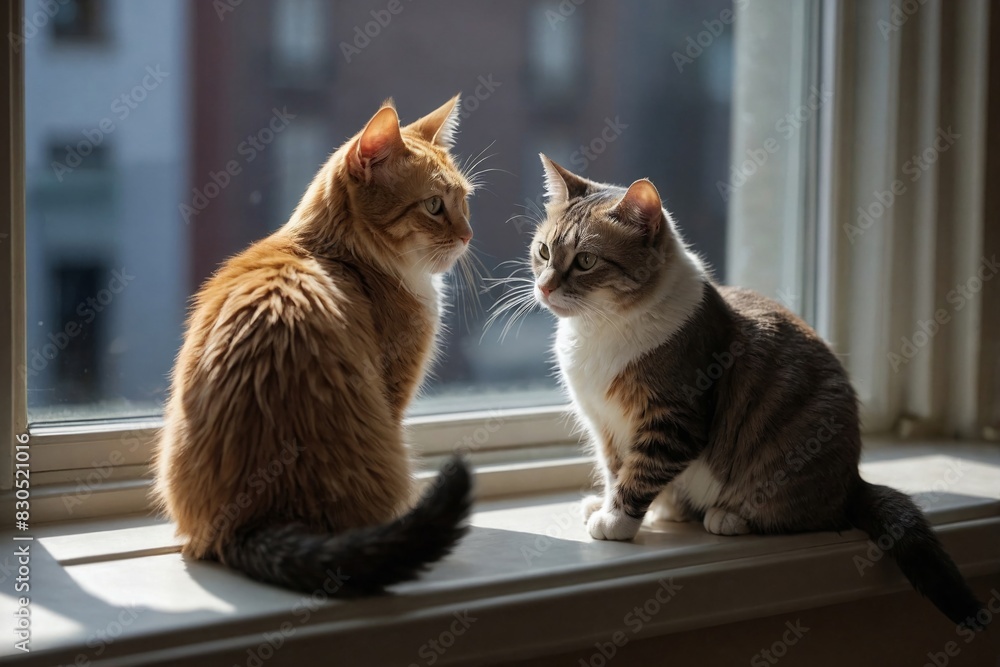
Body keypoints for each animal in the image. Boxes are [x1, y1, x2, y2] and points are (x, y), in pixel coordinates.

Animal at [152, 96, 472, 592]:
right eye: (435, 206)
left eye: (464, 201)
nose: (467, 236)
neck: (344, 253)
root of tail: (253, 522)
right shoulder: (395, 384)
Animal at [524, 154, 984, 628]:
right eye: (543, 251)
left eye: (585, 261)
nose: (544, 286)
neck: (600, 331)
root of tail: (852, 480)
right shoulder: (606, 426)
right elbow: (616, 469)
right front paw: (607, 505)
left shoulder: (673, 417)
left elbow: (641, 471)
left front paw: (615, 520)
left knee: (807, 514)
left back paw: (729, 517)